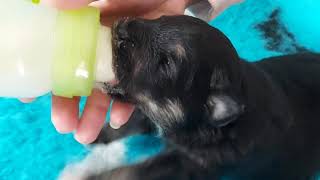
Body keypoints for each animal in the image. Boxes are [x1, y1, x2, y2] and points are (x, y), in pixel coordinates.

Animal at [63, 15, 320, 180]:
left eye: (165, 64)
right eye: (161, 19)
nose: (123, 28)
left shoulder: (187, 164)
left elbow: (135, 171)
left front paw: (89, 176)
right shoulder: (151, 112)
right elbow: (127, 125)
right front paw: (97, 136)